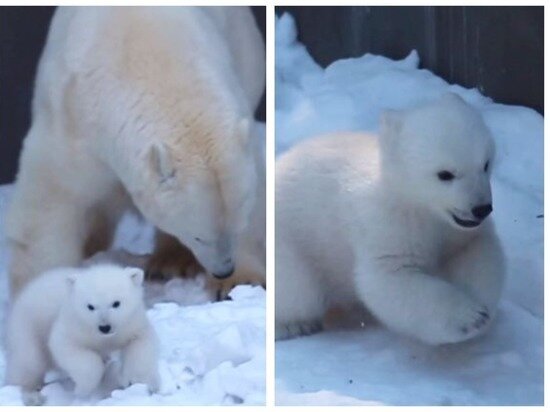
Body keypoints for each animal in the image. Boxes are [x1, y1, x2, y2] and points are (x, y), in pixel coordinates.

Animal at [7, 6, 268, 296]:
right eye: (199, 235)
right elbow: (49, 204)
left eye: (237, 226)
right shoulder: (72, 123)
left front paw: (240, 281)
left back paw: (170, 262)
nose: (224, 269)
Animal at [278, 93, 506, 344]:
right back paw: (293, 325)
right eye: (445, 174)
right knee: (299, 290)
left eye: (485, 164)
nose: (481, 208)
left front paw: (480, 304)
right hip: (292, 244)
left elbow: (476, 251)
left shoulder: (457, 231)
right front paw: (471, 317)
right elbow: (390, 276)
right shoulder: (388, 224)